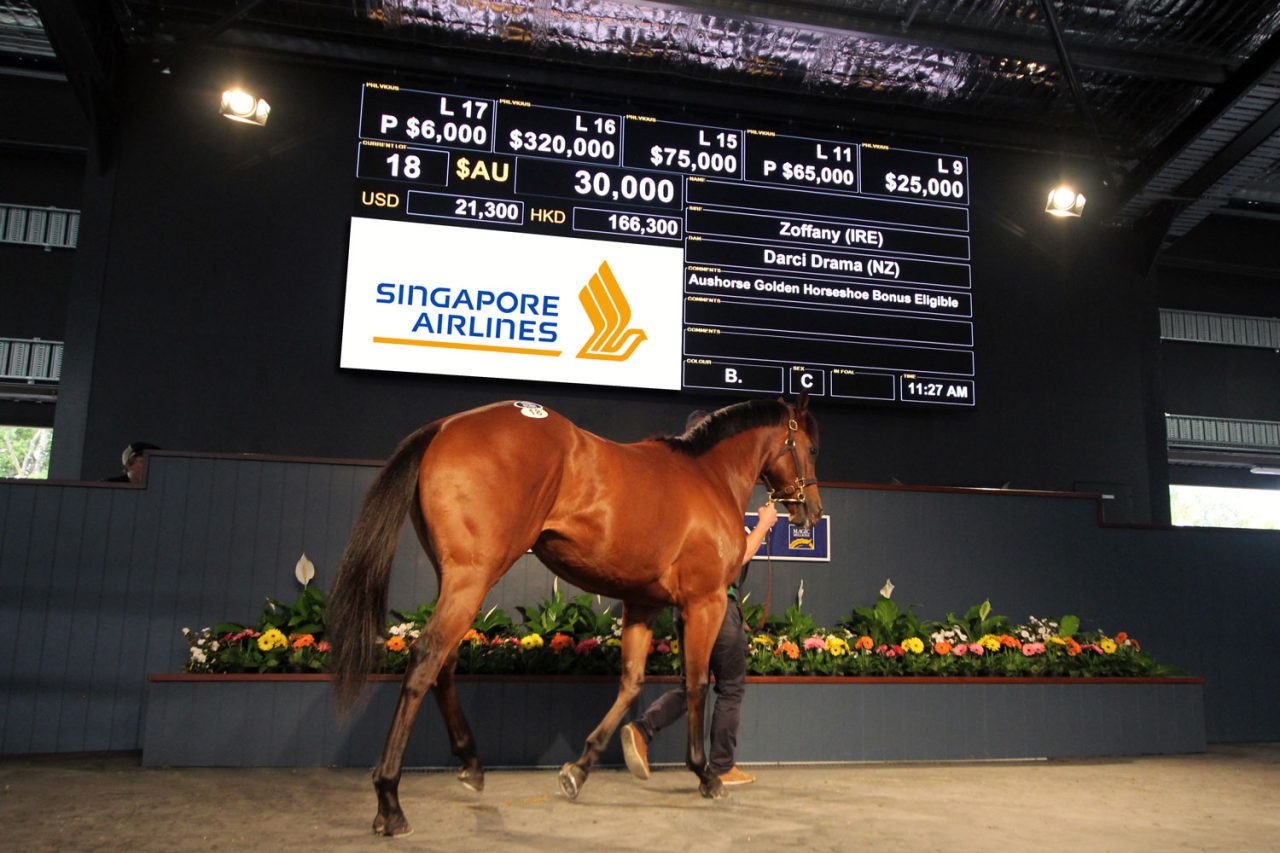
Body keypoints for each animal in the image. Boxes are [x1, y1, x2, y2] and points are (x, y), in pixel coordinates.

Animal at [328, 395, 822, 837]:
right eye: (813, 448)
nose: (811, 513)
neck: (705, 475)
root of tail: (445, 426)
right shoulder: (707, 601)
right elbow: (697, 684)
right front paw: (706, 775)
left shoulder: (642, 604)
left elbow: (631, 683)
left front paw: (579, 769)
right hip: (473, 576)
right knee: (425, 659)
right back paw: (389, 802)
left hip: (454, 579)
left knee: (443, 662)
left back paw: (470, 764)